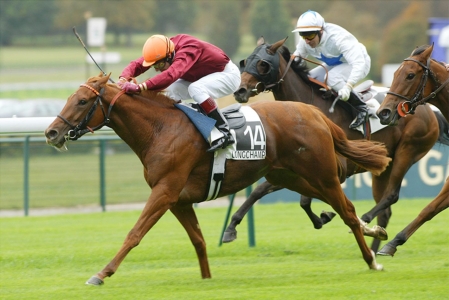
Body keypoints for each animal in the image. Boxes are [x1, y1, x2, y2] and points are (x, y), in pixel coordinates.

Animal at [43, 72, 390, 284]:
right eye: (71, 98)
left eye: (82, 101)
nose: (51, 132)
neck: (160, 129)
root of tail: (315, 113)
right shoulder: (179, 201)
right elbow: (198, 240)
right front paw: (207, 278)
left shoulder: (164, 191)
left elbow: (134, 233)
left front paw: (101, 274)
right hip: (289, 176)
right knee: (338, 207)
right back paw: (373, 231)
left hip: (322, 173)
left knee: (347, 210)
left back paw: (372, 259)